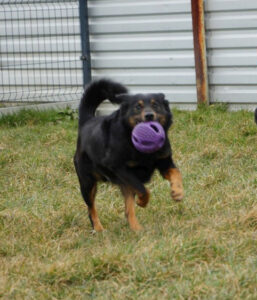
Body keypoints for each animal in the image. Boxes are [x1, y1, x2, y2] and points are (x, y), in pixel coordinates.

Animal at [73, 78, 183, 231]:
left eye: (155, 105)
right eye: (138, 107)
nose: (149, 115)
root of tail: (87, 121)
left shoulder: (164, 161)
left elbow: (176, 173)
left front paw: (177, 191)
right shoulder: (119, 168)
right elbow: (143, 189)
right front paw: (142, 201)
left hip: (121, 185)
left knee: (127, 210)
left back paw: (137, 229)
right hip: (87, 182)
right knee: (91, 207)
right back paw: (99, 228)